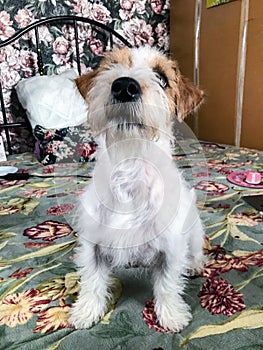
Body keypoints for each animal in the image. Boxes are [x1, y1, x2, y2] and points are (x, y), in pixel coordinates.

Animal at [69, 45, 206, 330]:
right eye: (111, 67)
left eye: (162, 78)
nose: (124, 86)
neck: (130, 166)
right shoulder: (92, 244)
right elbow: (92, 281)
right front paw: (86, 311)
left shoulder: (171, 248)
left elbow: (167, 284)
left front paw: (171, 315)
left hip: (195, 232)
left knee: (196, 250)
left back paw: (195, 264)